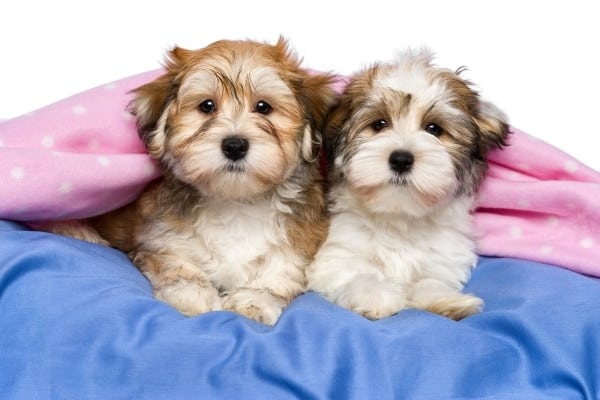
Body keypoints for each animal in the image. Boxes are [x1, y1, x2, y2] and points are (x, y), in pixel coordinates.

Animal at [49, 38, 336, 324]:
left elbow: (280, 274)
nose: (234, 145)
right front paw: (193, 295)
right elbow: (177, 264)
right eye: (207, 106)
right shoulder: (162, 238)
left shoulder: (299, 245)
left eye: (263, 107)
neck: (236, 201)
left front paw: (253, 301)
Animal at [308, 49, 508, 318]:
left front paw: (447, 300)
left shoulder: (442, 258)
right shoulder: (337, 255)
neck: (400, 217)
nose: (401, 159)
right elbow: (357, 275)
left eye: (434, 129)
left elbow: (431, 280)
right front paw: (374, 295)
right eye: (379, 124)